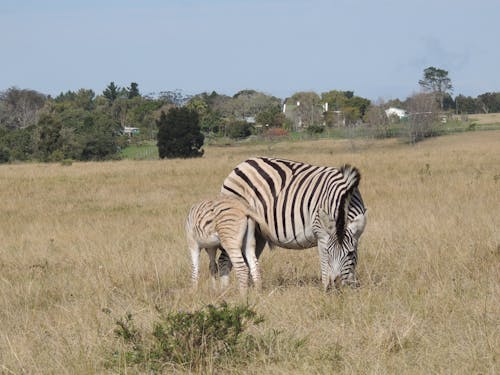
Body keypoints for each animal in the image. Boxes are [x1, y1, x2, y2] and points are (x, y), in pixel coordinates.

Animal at [219, 156, 368, 290]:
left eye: (350, 253)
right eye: (329, 252)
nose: (336, 283)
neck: (345, 198)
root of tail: (243, 164)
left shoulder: (355, 237)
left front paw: (351, 289)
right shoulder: (321, 234)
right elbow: (325, 266)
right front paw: (327, 290)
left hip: (257, 232)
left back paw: (252, 290)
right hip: (231, 223)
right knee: (223, 259)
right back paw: (223, 291)